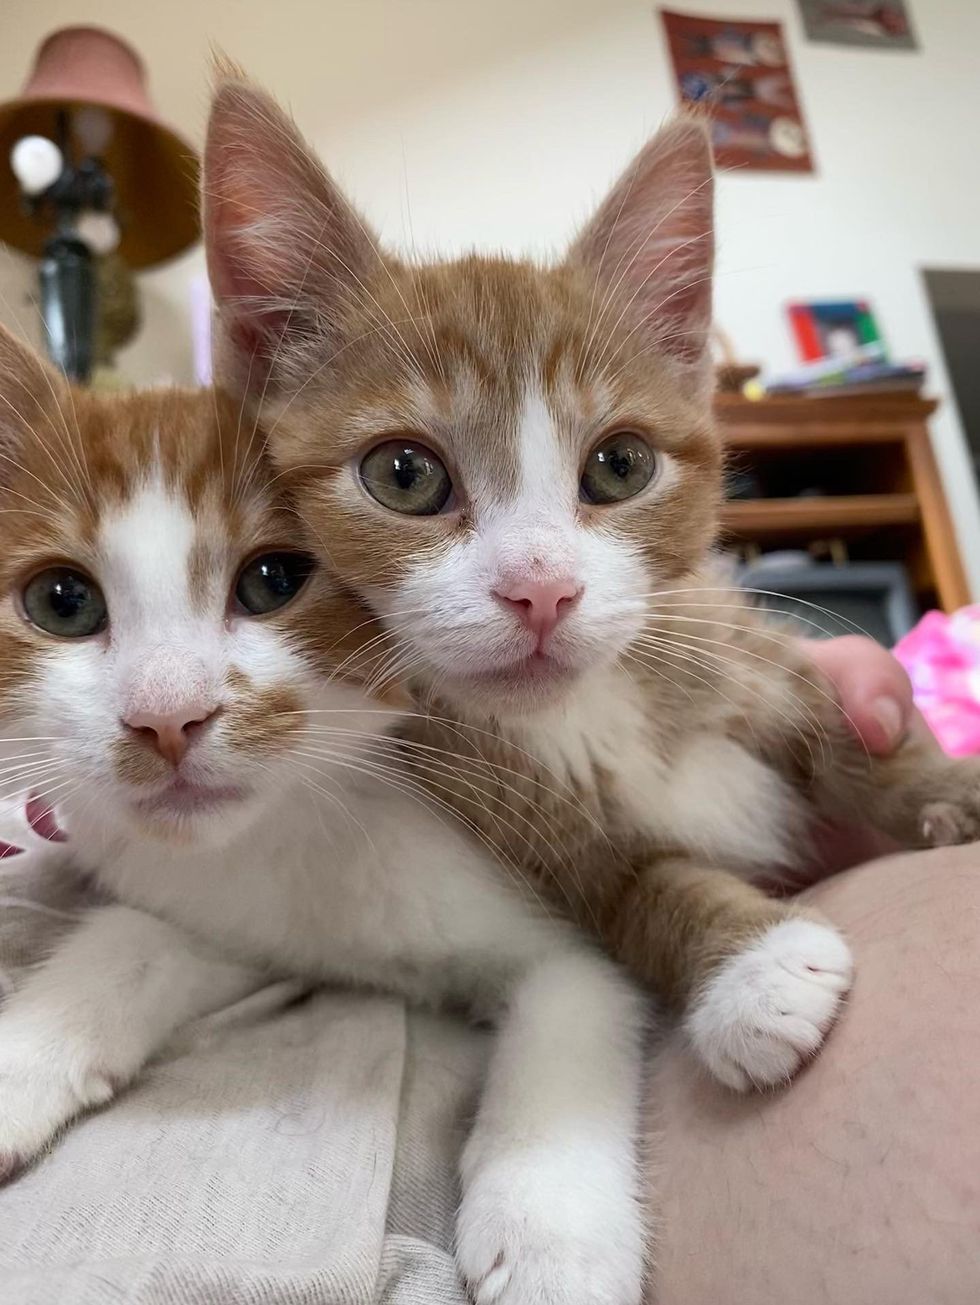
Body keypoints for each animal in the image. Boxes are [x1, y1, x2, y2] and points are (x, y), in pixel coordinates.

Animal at [0, 326, 652, 1305]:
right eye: (61, 601)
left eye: (273, 578)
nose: (166, 718)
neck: (305, 819)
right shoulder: (223, 908)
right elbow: (129, 942)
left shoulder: (569, 894)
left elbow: (572, 1010)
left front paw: (553, 1240)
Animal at [203, 74, 980, 1090]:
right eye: (403, 475)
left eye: (620, 465)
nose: (542, 590)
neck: (592, 708)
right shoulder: (510, 808)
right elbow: (638, 885)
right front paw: (755, 970)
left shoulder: (721, 632)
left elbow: (855, 741)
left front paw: (946, 788)